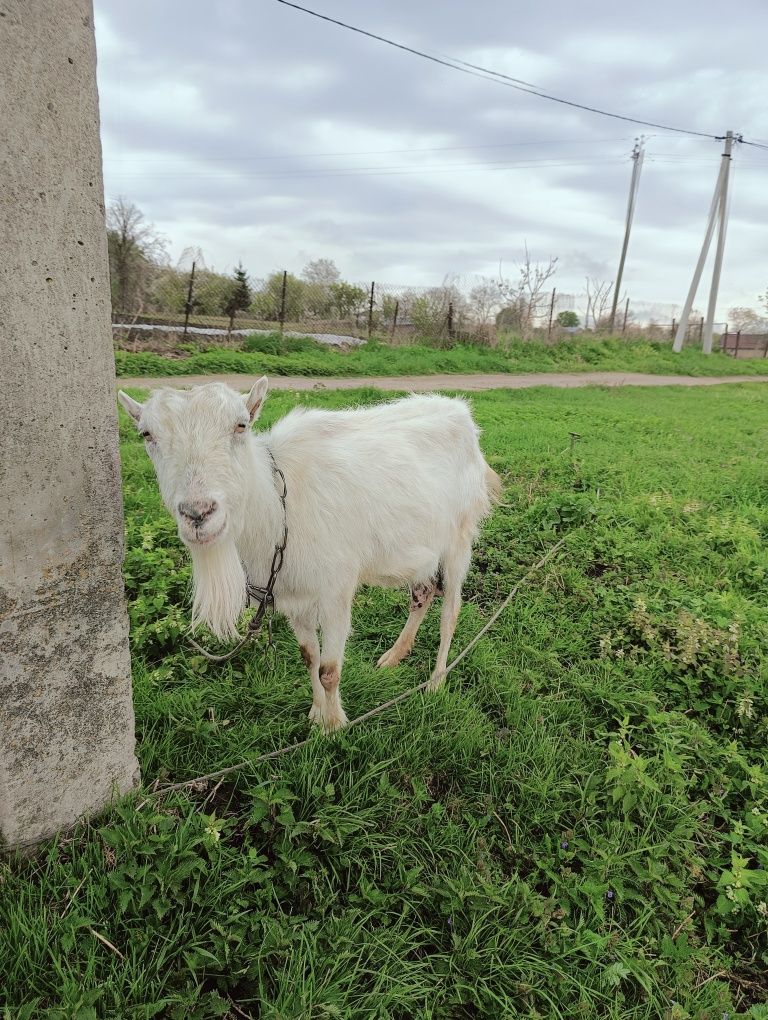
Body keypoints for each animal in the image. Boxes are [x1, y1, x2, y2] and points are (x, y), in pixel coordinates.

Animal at [119, 379, 499, 730]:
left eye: (241, 425)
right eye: (147, 434)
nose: (198, 513)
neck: (277, 506)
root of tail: (462, 413)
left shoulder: (336, 592)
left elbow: (330, 670)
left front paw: (335, 726)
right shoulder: (290, 594)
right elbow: (309, 658)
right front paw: (317, 715)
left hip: (459, 538)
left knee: (450, 611)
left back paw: (436, 681)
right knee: (422, 593)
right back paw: (393, 656)